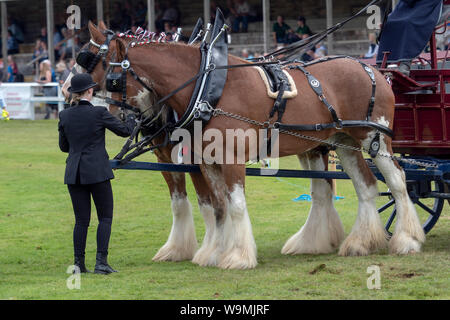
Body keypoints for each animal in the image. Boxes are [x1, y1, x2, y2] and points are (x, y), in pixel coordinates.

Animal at [62, 21, 426, 268]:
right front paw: (211, 252)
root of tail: (370, 67)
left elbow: (232, 205)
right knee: (365, 186)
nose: (68, 95)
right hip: (343, 142)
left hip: (374, 137)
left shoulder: (227, 157)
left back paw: (407, 239)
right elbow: (215, 206)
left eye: (100, 67)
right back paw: (359, 243)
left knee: (396, 181)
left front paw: (236, 256)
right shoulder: (202, 160)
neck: (206, 89)